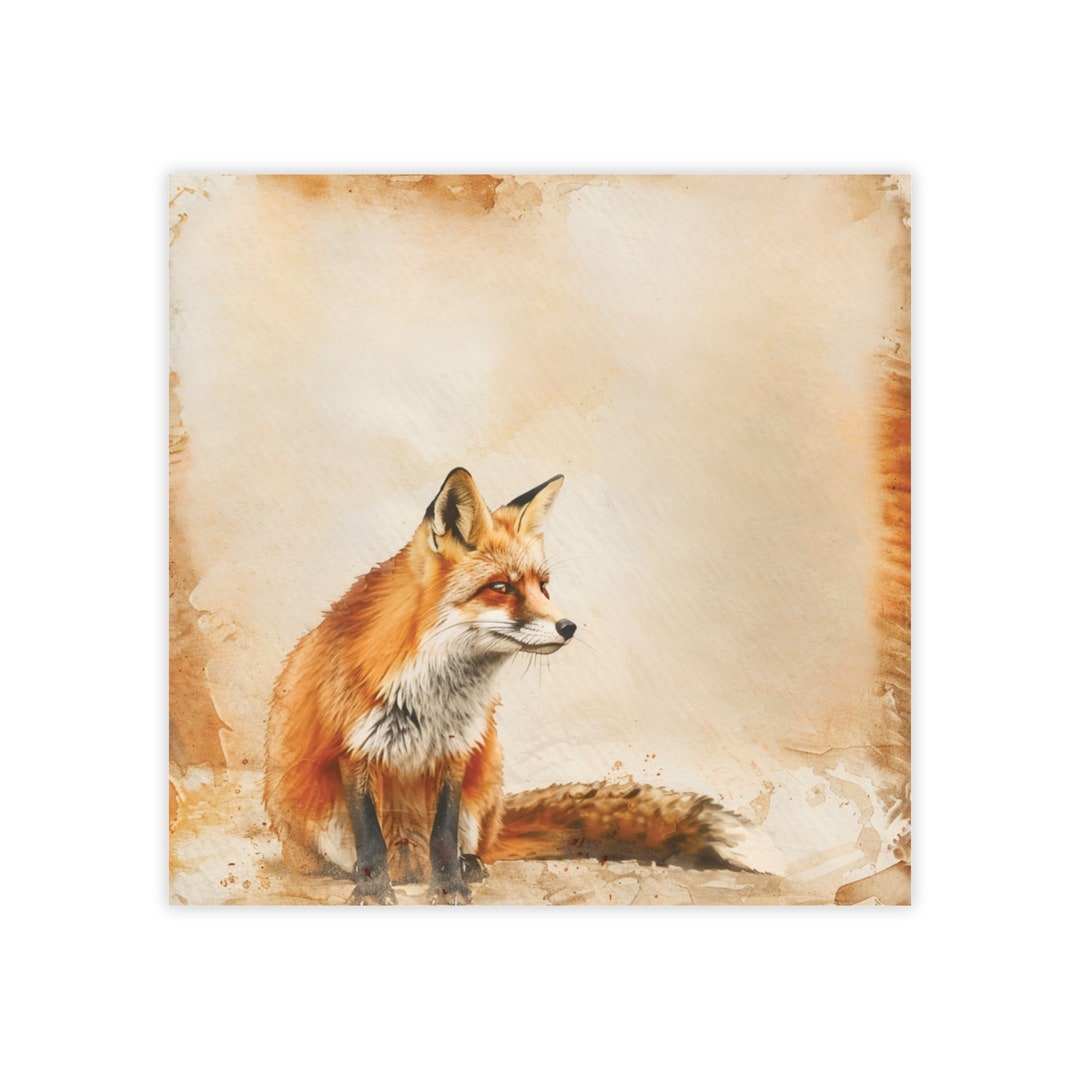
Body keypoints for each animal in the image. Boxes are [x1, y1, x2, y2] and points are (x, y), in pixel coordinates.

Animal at [264, 468, 777, 904]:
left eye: (542, 586)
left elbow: (443, 837)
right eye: (502, 588)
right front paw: (373, 891)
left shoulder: (457, 749)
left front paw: (450, 887)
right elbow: (370, 841)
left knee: (468, 846)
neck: (433, 693)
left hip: (484, 779)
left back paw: (469, 866)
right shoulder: (355, 748)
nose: (568, 627)